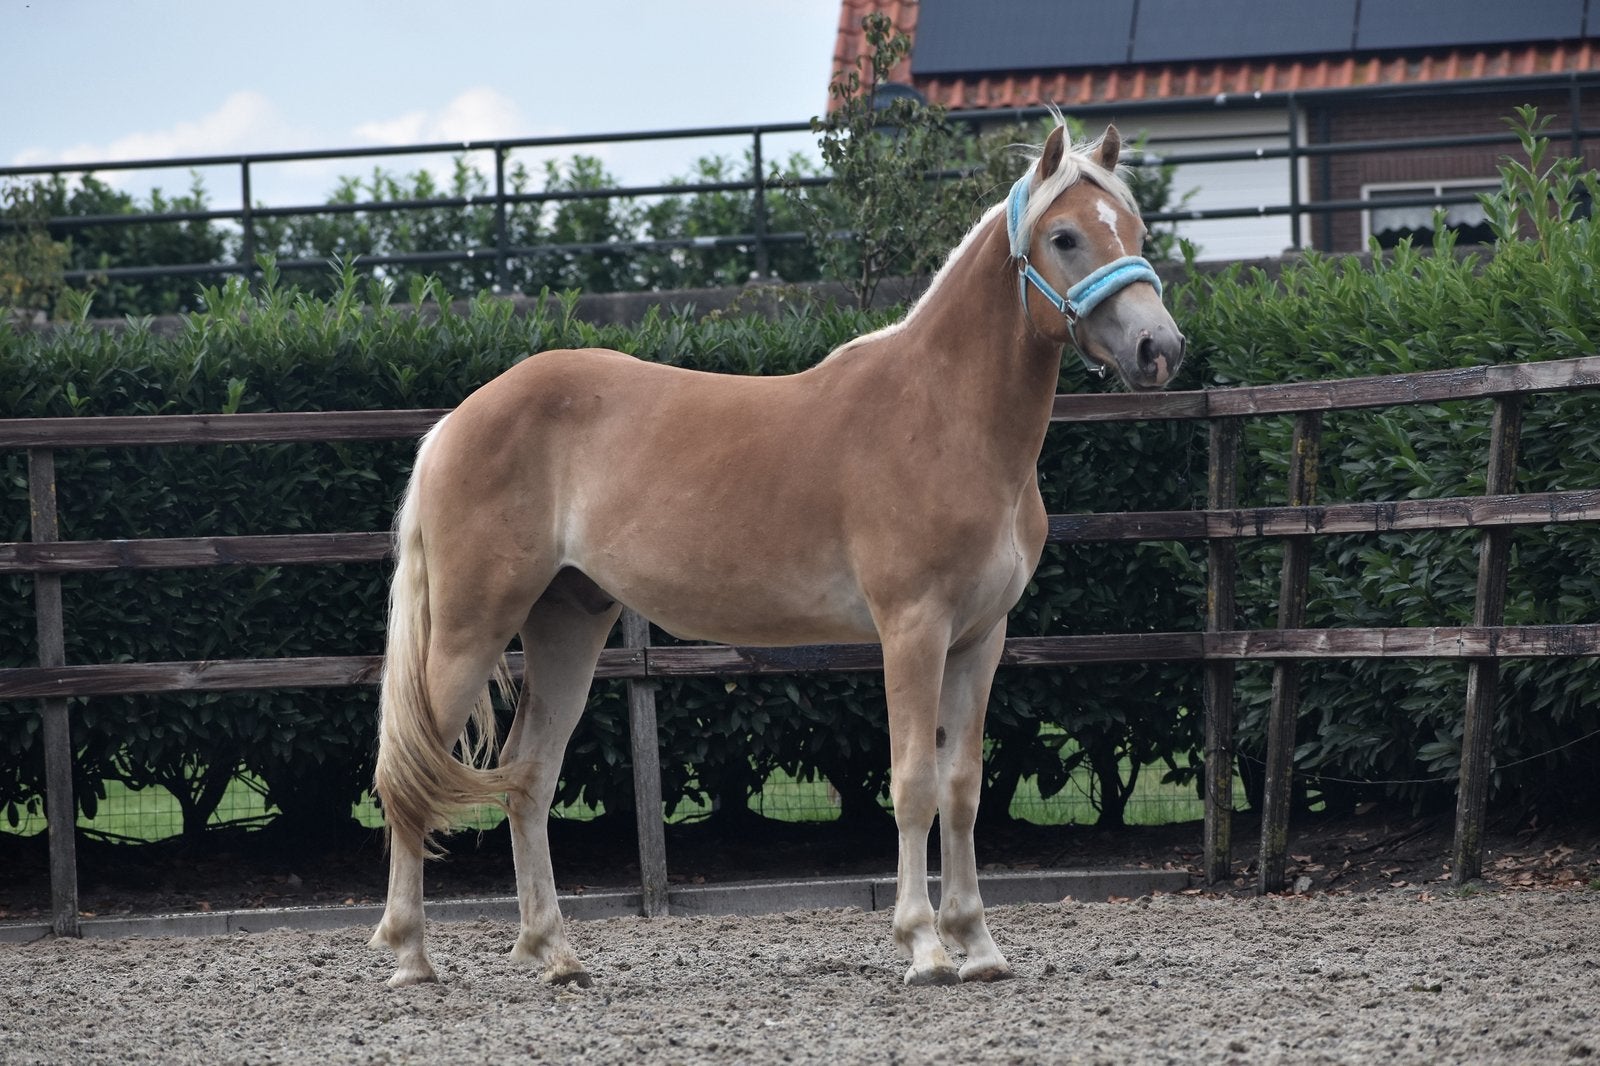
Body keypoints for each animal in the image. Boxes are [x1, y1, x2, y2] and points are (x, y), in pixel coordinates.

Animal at [367, 120, 1185, 988]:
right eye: (1064, 237)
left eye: (1135, 231)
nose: (1159, 348)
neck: (943, 416)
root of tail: (457, 420)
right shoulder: (914, 631)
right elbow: (913, 784)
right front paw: (926, 945)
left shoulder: (980, 638)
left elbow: (962, 787)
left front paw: (981, 946)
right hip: (469, 628)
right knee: (406, 774)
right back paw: (411, 951)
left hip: (568, 621)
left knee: (528, 775)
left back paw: (554, 953)